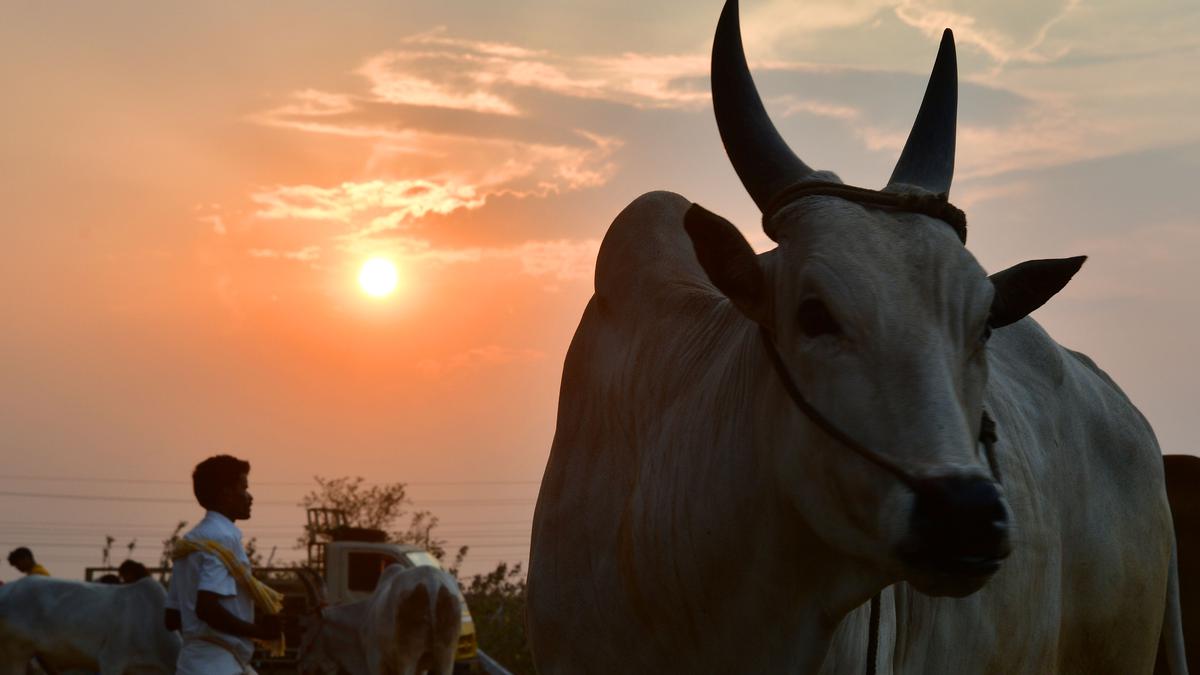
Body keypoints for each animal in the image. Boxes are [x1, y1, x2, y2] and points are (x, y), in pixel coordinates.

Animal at [300, 562, 463, 672]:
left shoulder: (375, 661)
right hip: (446, 657)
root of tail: (432, 583)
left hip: (408, 659)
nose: (300, 663)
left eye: (304, 627)